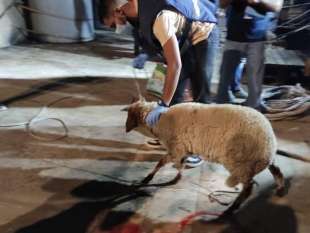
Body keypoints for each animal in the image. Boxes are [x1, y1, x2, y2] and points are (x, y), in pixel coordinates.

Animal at [123, 99, 286, 214]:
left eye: (130, 115)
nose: (125, 129)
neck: (158, 120)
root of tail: (269, 142)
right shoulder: (183, 149)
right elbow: (180, 164)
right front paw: (176, 178)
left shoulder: (176, 148)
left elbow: (161, 162)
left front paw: (148, 178)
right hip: (257, 162)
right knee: (276, 171)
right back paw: (280, 189)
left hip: (241, 165)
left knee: (248, 188)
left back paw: (230, 210)